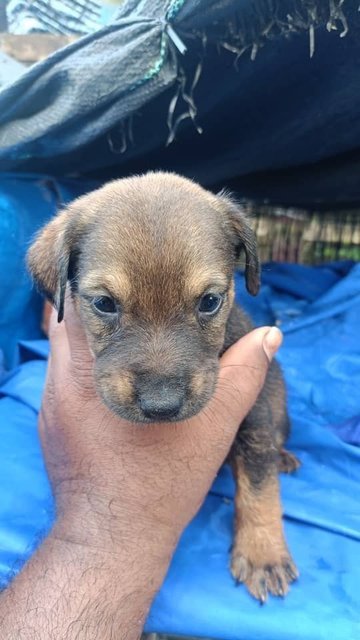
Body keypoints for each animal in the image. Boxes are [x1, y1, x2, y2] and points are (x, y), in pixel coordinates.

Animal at [28, 170, 300, 600]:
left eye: (210, 301)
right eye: (104, 304)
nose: (161, 405)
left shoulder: (255, 411)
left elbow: (260, 482)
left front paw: (263, 552)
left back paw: (284, 457)